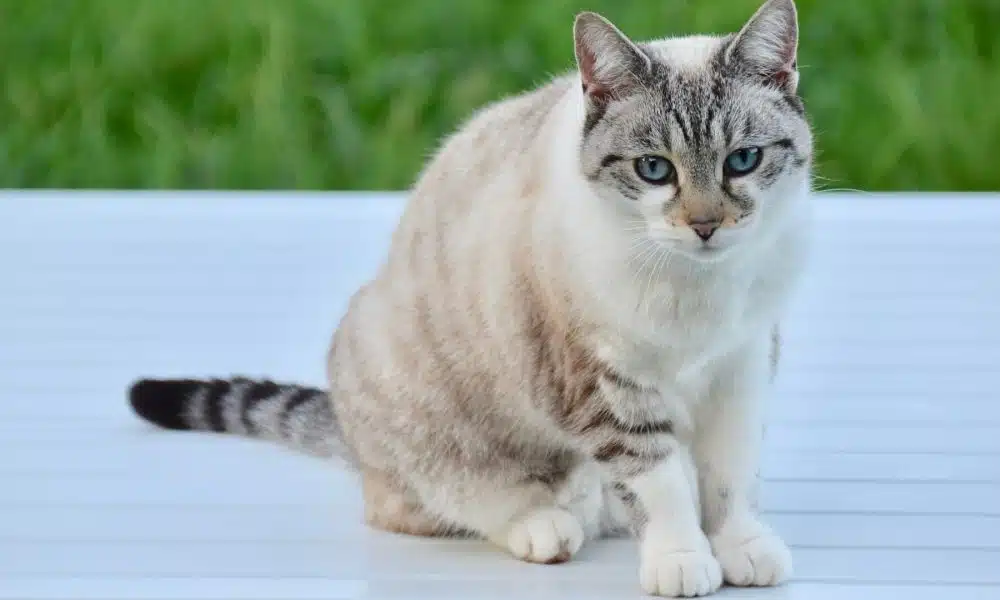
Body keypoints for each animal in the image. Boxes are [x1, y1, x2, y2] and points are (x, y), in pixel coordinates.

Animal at [127, 0, 812, 596]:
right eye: (654, 170)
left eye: (743, 160)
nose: (705, 225)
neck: (699, 292)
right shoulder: (607, 383)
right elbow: (659, 481)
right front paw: (680, 558)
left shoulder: (741, 367)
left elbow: (729, 477)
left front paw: (742, 547)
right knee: (423, 501)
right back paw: (546, 521)